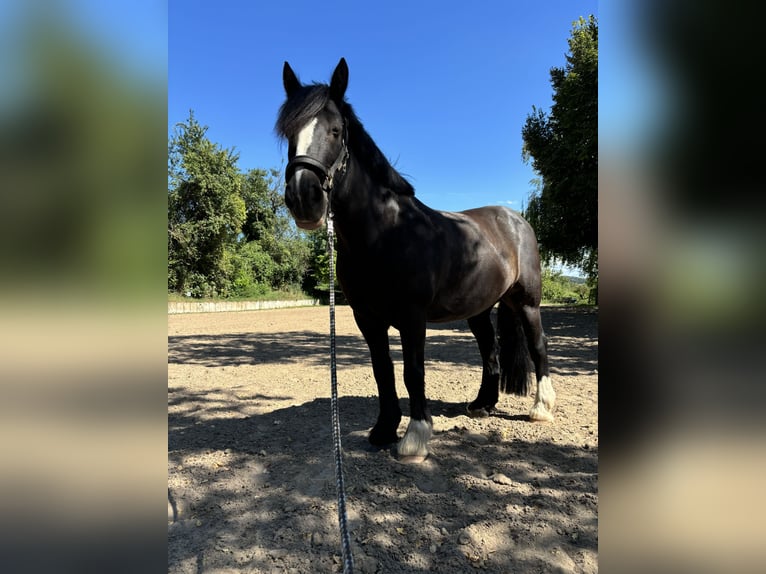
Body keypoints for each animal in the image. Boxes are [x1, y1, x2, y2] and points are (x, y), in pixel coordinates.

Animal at [280, 58, 556, 464]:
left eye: (335, 130)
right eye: (288, 134)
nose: (304, 197)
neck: (385, 233)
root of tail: (515, 220)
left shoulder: (412, 317)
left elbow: (413, 372)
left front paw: (415, 437)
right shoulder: (367, 318)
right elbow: (383, 371)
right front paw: (383, 430)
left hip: (527, 302)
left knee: (538, 345)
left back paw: (541, 408)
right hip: (479, 308)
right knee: (489, 350)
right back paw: (482, 404)